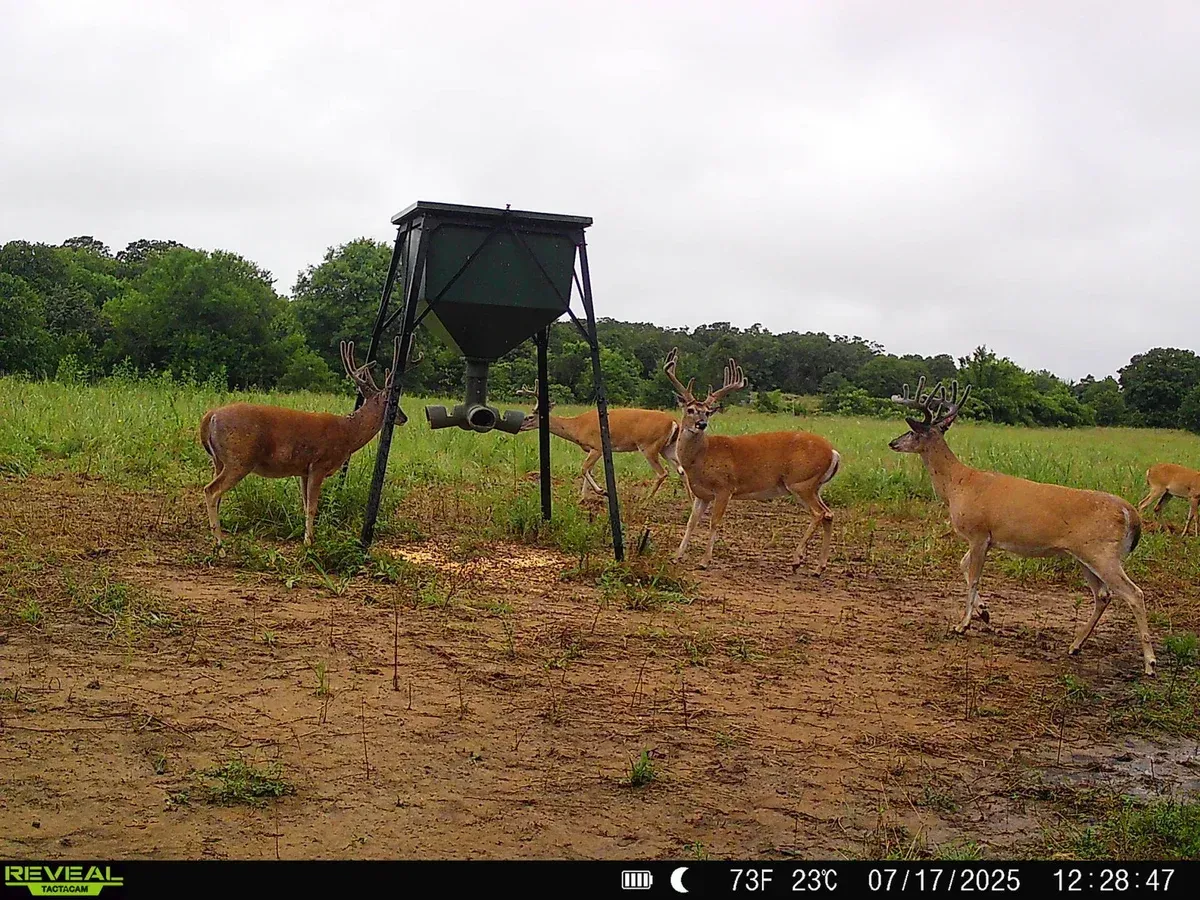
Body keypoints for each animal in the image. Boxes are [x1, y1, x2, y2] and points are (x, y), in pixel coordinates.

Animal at [199, 336, 409, 556]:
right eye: (392, 403)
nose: (404, 417)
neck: (348, 434)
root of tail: (210, 416)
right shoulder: (319, 464)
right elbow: (313, 507)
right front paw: (309, 544)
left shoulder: (303, 470)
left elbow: (305, 503)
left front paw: (308, 538)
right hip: (240, 459)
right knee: (211, 491)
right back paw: (220, 546)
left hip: (218, 460)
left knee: (216, 494)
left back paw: (215, 541)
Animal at [515, 381, 690, 502]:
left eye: (529, 417)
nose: (520, 426)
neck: (577, 426)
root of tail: (674, 422)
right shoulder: (593, 449)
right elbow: (588, 470)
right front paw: (582, 498)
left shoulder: (597, 446)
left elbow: (584, 468)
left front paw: (601, 491)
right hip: (668, 447)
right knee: (681, 470)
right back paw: (689, 501)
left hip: (649, 446)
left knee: (663, 472)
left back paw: (645, 499)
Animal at [661, 348, 841, 573]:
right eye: (690, 410)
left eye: (708, 412)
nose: (701, 424)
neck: (702, 457)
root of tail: (833, 452)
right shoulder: (702, 494)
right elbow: (691, 522)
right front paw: (676, 556)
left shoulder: (725, 487)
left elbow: (714, 522)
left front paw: (704, 561)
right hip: (814, 486)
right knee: (828, 514)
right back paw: (819, 567)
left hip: (801, 482)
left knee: (818, 514)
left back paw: (797, 559)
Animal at [888, 376, 1156, 676]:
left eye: (911, 432)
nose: (892, 442)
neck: (958, 484)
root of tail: (1131, 513)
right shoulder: (986, 538)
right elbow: (963, 566)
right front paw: (984, 612)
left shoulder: (979, 533)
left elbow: (974, 576)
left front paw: (963, 624)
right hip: (1085, 556)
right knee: (1103, 595)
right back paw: (1075, 645)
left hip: (1102, 553)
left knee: (1134, 594)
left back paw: (1149, 663)